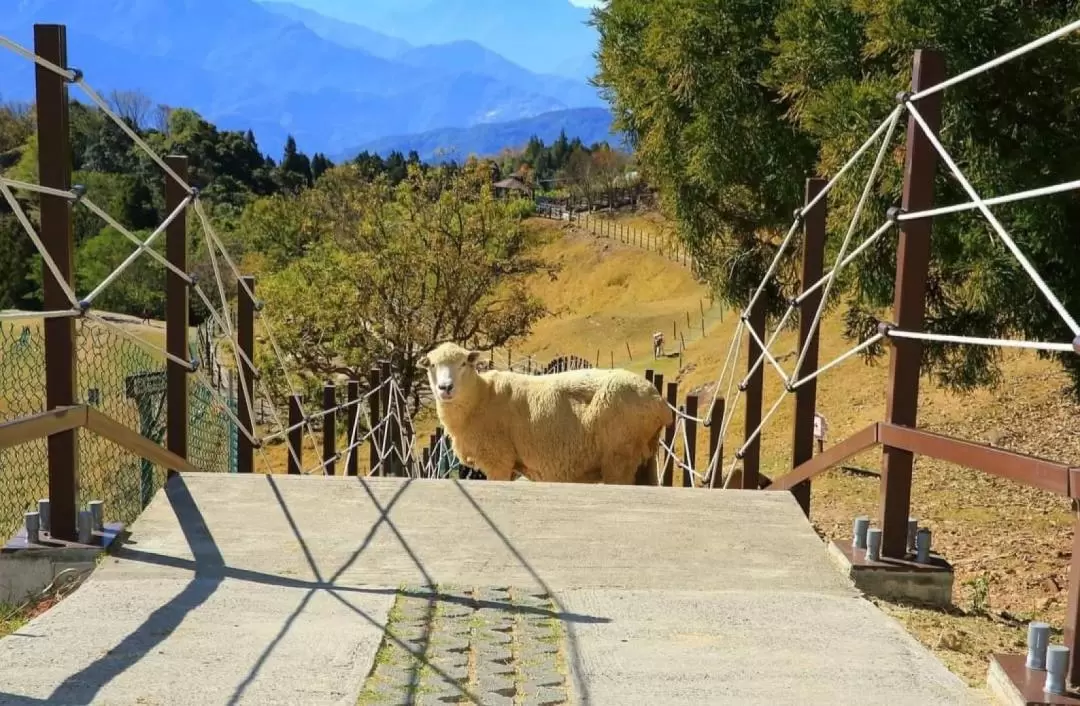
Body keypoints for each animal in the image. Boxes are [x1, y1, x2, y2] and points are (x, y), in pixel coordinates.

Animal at [416, 343, 669, 487]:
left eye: (463, 364)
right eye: (432, 365)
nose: (445, 388)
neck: (481, 397)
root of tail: (658, 400)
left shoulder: (498, 459)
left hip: (620, 455)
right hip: (643, 457)